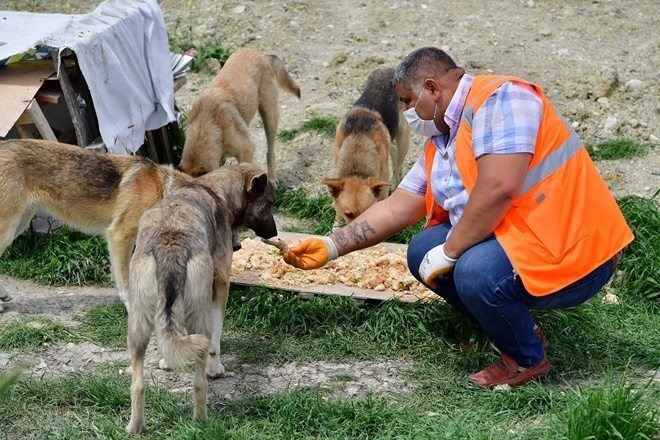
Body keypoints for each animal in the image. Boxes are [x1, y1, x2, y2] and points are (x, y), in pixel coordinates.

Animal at [125, 164, 276, 434]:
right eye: (269, 204)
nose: (275, 233)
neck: (215, 189)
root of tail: (171, 242)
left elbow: (170, 336)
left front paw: (168, 361)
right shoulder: (221, 283)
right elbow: (216, 341)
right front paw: (216, 369)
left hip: (137, 324)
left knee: (138, 384)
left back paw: (135, 427)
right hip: (199, 316)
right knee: (198, 382)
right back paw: (201, 419)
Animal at [182, 50, 302, 182]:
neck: (205, 124)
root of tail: (261, 55)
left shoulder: (247, 150)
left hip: (270, 117)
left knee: (270, 151)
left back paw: (271, 178)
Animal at [324, 69, 410, 227]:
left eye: (368, 212)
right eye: (348, 214)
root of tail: (389, 70)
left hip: (403, 138)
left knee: (398, 165)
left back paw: (395, 182)